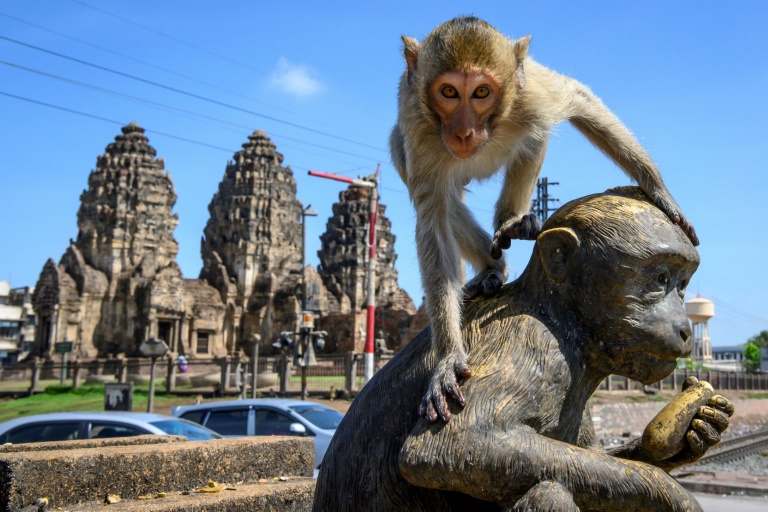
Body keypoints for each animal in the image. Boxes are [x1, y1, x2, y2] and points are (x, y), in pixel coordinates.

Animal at [392, 17, 700, 424]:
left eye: (481, 92)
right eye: (448, 92)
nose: (463, 132)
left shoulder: (532, 96)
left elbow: (578, 98)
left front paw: (660, 190)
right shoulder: (419, 127)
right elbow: (433, 219)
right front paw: (447, 358)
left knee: (534, 136)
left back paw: (512, 222)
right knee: (432, 187)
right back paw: (492, 267)